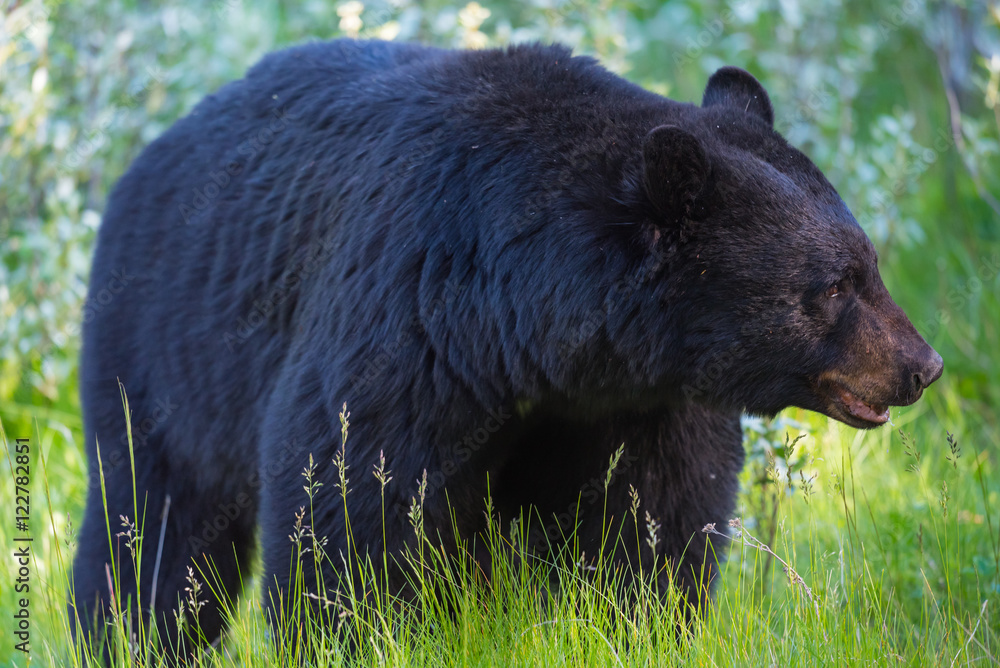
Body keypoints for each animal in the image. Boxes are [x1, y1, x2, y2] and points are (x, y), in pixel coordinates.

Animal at [71, 38, 943, 661]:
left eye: (869, 263)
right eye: (833, 285)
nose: (922, 367)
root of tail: (148, 156)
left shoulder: (644, 399)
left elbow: (651, 517)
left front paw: (637, 625)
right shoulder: (407, 322)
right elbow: (348, 498)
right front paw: (359, 635)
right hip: (166, 352)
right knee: (153, 527)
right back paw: (125, 637)